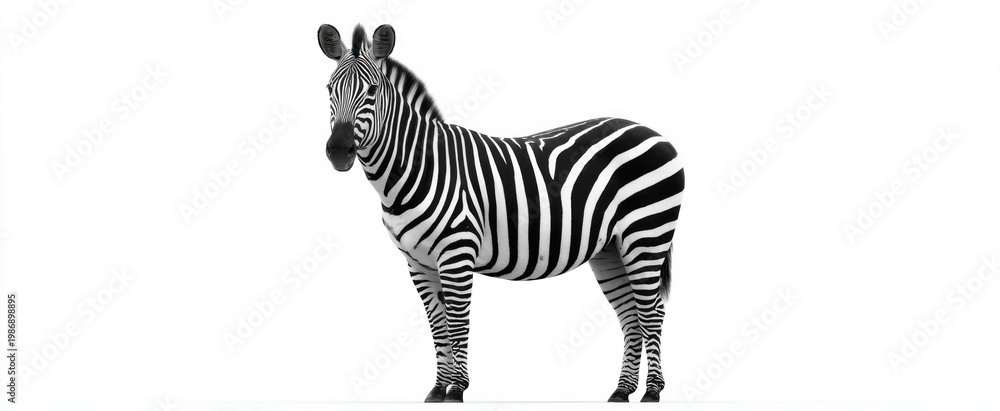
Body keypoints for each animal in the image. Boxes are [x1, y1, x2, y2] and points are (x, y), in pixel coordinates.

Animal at [317, 24, 684, 403]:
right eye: (329, 89)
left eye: (373, 91)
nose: (338, 152)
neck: (415, 169)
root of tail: (653, 132)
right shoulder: (417, 262)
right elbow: (437, 325)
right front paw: (438, 388)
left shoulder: (456, 254)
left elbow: (457, 323)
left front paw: (457, 389)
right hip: (610, 248)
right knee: (630, 315)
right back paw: (622, 390)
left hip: (647, 235)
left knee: (652, 312)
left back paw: (652, 391)